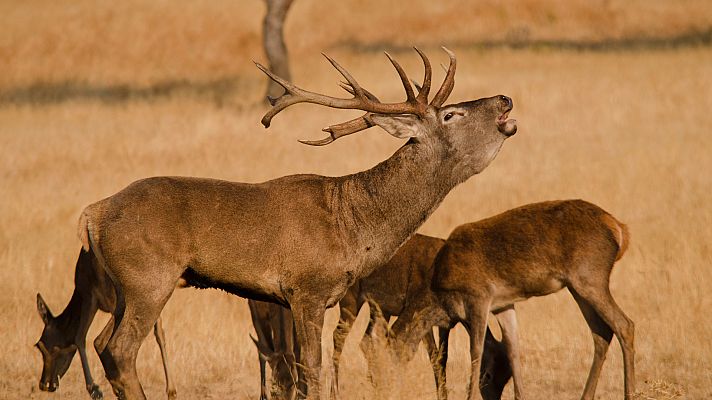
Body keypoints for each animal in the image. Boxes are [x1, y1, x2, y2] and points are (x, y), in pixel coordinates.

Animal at [34, 248, 177, 398]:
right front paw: (171, 391)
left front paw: (95, 389)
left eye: (42, 346)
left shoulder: (90, 297)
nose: (45, 384)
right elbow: (159, 333)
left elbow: (79, 338)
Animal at [76, 48, 516, 398]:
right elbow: (312, 371)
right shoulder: (307, 288)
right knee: (120, 349)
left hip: (124, 287)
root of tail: (92, 213)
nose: (505, 98)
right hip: (149, 278)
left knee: (101, 342)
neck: (353, 227)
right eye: (451, 113)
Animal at [378, 200, 636, 400]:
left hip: (590, 276)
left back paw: (630, 394)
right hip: (578, 286)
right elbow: (513, 349)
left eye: (390, 362)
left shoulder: (479, 296)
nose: (386, 389)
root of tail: (620, 228)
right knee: (601, 332)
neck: (439, 292)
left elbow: (476, 351)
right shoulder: (503, 304)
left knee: (625, 324)